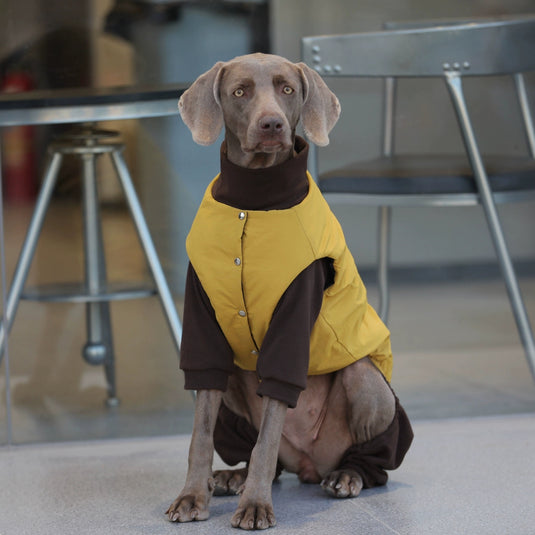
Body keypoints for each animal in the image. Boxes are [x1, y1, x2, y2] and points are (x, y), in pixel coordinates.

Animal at [168, 52, 414, 528]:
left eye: (287, 89)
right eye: (240, 91)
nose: (272, 125)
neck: (254, 201)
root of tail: (308, 464)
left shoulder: (294, 315)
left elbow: (270, 428)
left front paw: (255, 505)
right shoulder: (203, 319)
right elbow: (200, 430)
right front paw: (192, 495)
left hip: (363, 383)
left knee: (364, 460)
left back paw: (348, 475)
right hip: (236, 379)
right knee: (262, 450)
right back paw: (234, 475)